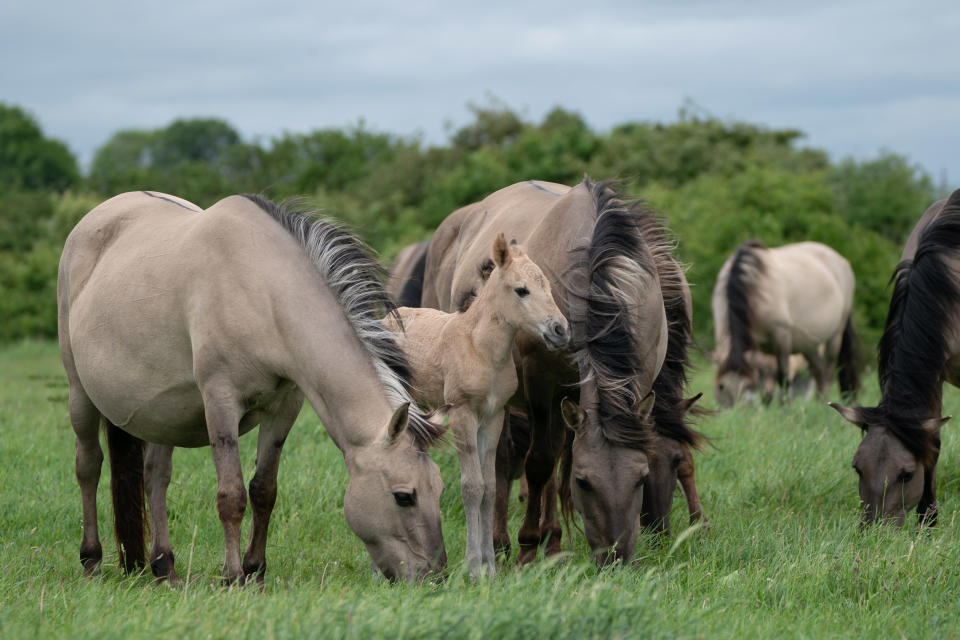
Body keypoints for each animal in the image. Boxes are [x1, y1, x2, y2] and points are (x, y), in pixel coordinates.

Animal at [58, 191, 448, 584]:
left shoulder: (285, 406)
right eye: (404, 496)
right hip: (80, 396)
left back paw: (164, 567)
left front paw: (255, 570)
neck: (261, 291)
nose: (435, 576)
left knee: (155, 477)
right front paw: (233, 576)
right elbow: (231, 496)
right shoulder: (220, 401)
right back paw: (91, 560)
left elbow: (264, 490)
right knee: (88, 466)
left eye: (439, 489)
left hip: (160, 414)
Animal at [382, 234, 568, 576]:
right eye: (522, 290)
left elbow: (491, 487)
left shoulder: (493, 417)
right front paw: (472, 567)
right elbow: (472, 487)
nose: (560, 330)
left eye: (547, 286)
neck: (480, 348)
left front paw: (490, 567)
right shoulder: (463, 414)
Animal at [708, 238, 860, 408]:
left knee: (828, 370)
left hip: (835, 336)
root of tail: (842, 261)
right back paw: (820, 403)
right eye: (720, 386)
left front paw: (785, 408)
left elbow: (783, 377)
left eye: (747, 386)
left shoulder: (781, 336)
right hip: (809, 346)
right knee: (818, 372)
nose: (734, 411)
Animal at [828, 189, 960, 524]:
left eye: (906, 475)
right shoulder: (934, 374)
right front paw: (928, 520)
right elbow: (933, 443)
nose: (874, 528)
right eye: (857, 468)